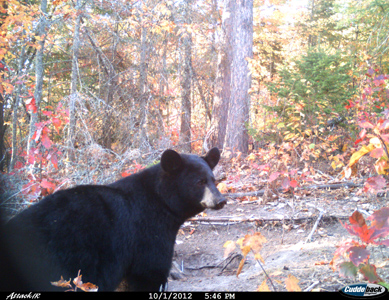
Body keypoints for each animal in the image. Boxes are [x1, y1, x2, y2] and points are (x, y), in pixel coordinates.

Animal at [0, 148, 224, 290]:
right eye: (199, 181)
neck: (160, 200)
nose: (221, 200)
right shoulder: (147, 232)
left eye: (213, 179)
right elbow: (150, 271)